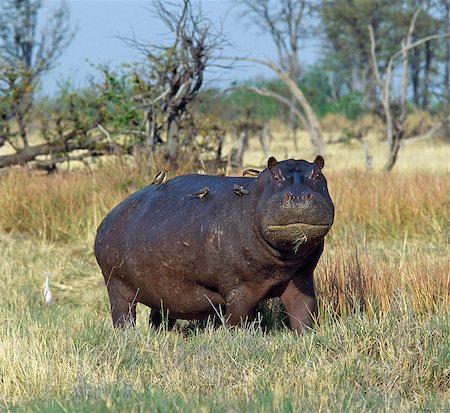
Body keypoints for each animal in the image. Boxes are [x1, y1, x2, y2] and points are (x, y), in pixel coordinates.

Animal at [94, 156, 334, 330]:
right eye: (275, 175)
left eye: (318, 173)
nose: (299, 197)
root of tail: (109, 216)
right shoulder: (239, 289)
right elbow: (236, 318)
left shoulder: (301, 278)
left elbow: (304, 311)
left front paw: (306, 336)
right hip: (116, 286)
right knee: (123, 315)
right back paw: (126, 336)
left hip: (158, 292)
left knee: (158, 315)